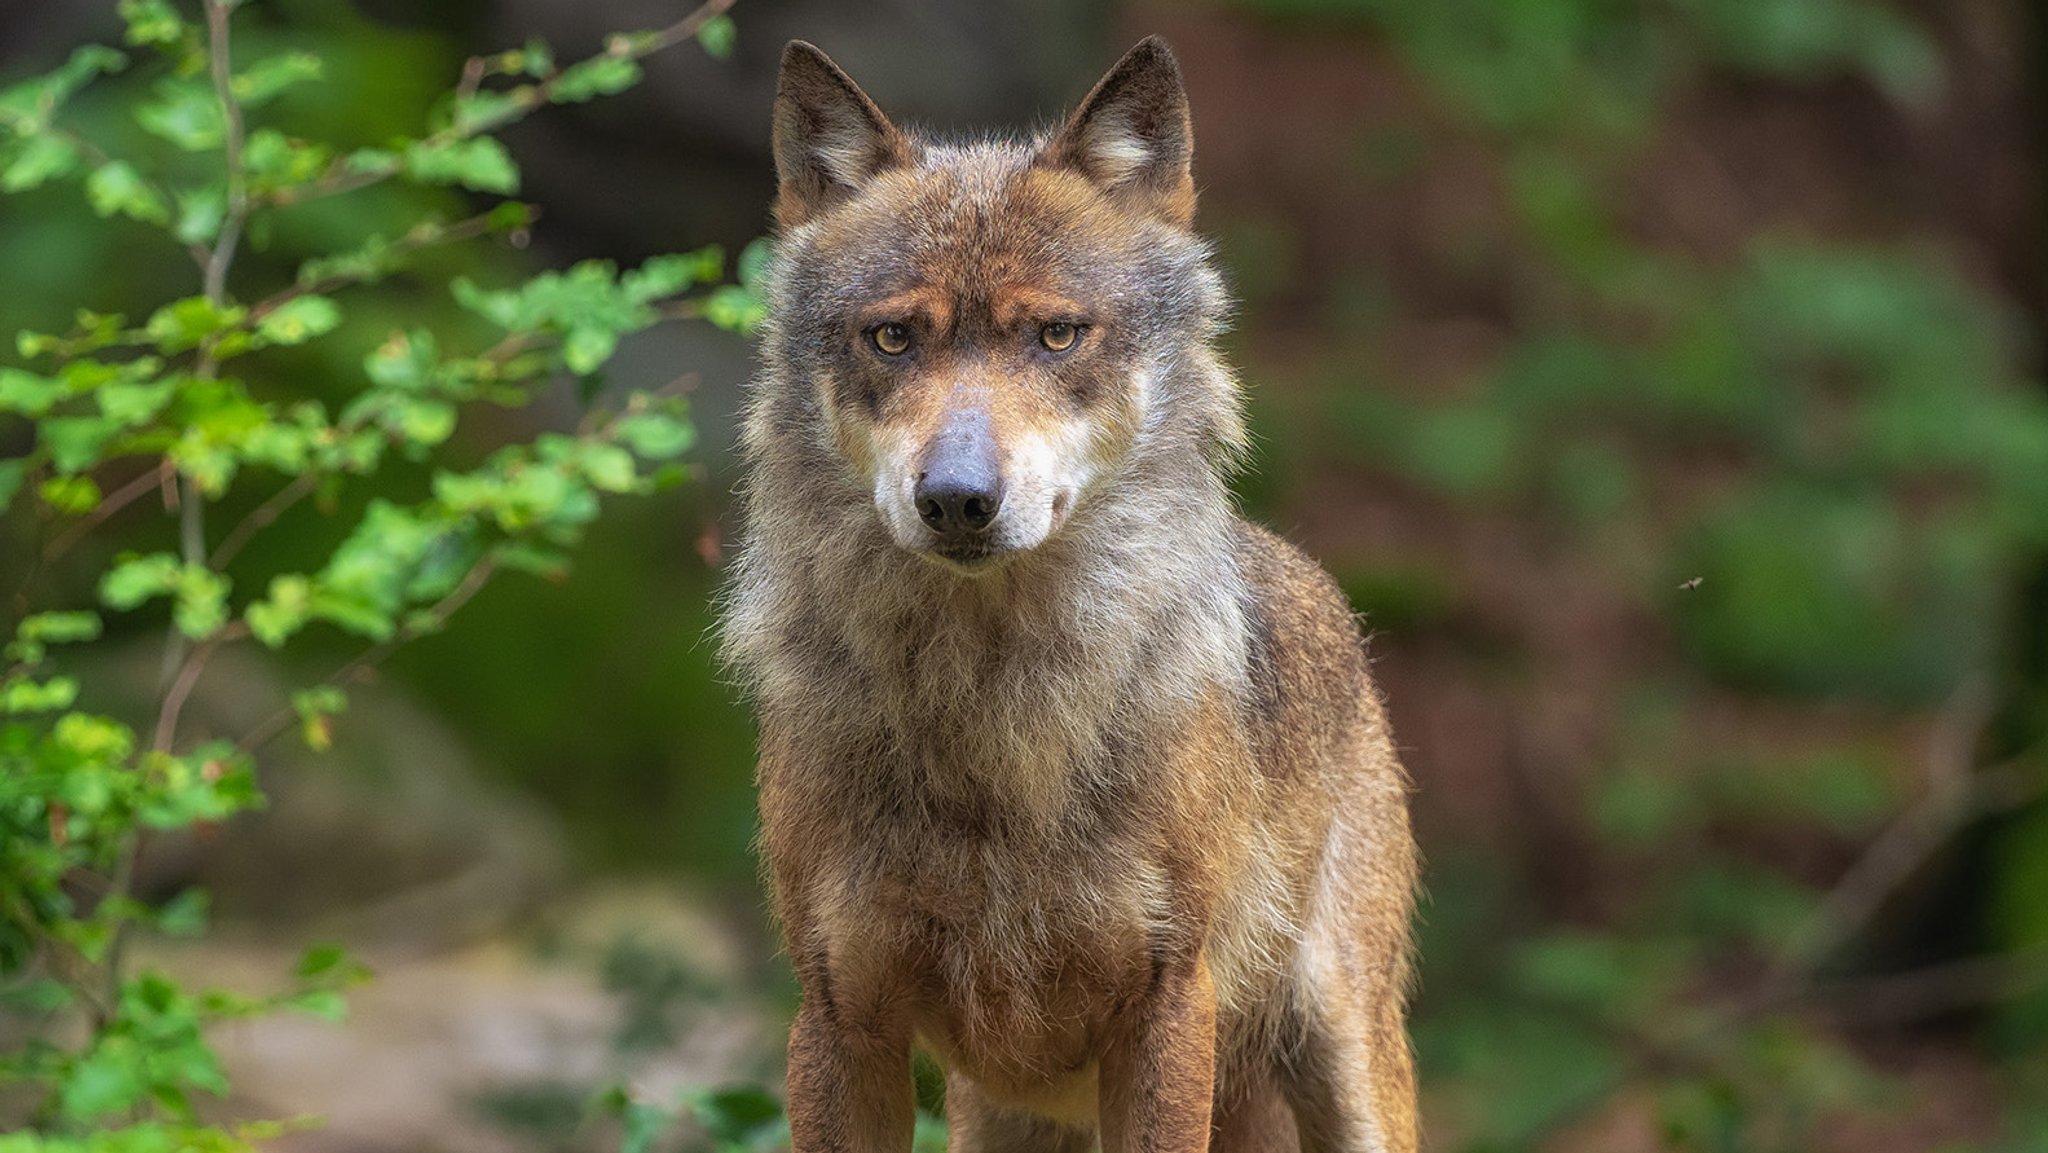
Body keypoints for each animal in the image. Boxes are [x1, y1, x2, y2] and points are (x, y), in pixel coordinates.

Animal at [724, 36, 1425, 1153]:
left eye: (1055, 335)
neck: (994, 712)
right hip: (1002, 1114)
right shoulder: (839, 1013)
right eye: (892, 339)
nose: (957, 498)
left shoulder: (1166, 1005)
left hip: (1345, 1060)